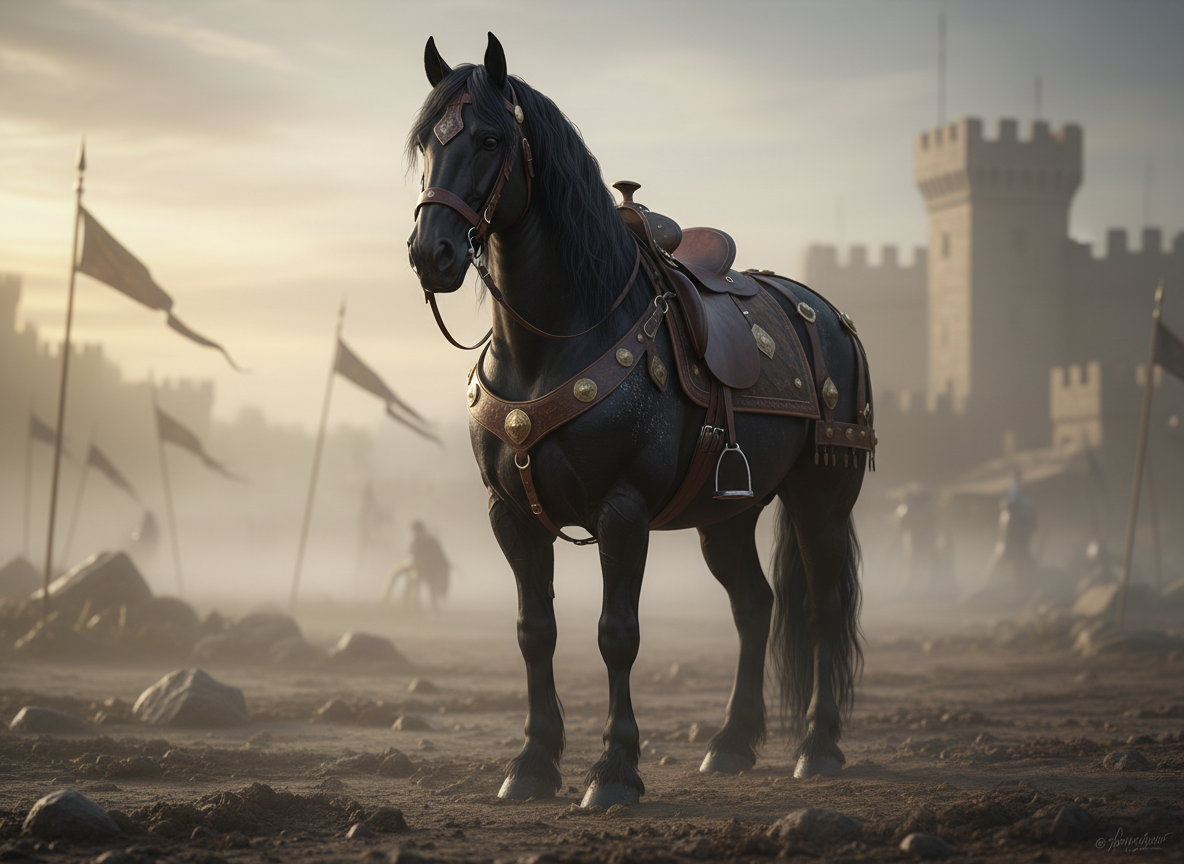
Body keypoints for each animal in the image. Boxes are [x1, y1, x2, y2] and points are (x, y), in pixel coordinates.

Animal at [406, 32, 868, 809]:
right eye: (425, 145)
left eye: (490, 138)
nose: (430, 253)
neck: (557, 341)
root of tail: (830, 316)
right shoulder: (511, 513)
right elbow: (535, 631)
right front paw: (533, 762)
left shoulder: (622, 509)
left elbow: (616, 633)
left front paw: (615, 769)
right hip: (726, 514)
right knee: (755, 605)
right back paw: (731, 742)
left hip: (821, 498)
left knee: (821, 609)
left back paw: (821, 747)